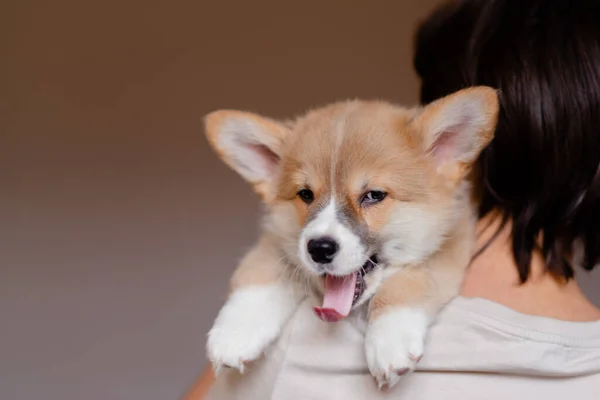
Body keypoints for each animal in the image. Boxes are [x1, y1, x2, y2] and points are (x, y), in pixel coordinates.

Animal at [204, 86, 500, 388]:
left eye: (374, 195)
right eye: (305, 194)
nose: (319, 249)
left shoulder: (450, 245)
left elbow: (406, 281)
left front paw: (389, 339)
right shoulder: (277, 244)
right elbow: (259, 272)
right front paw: (236, 331)